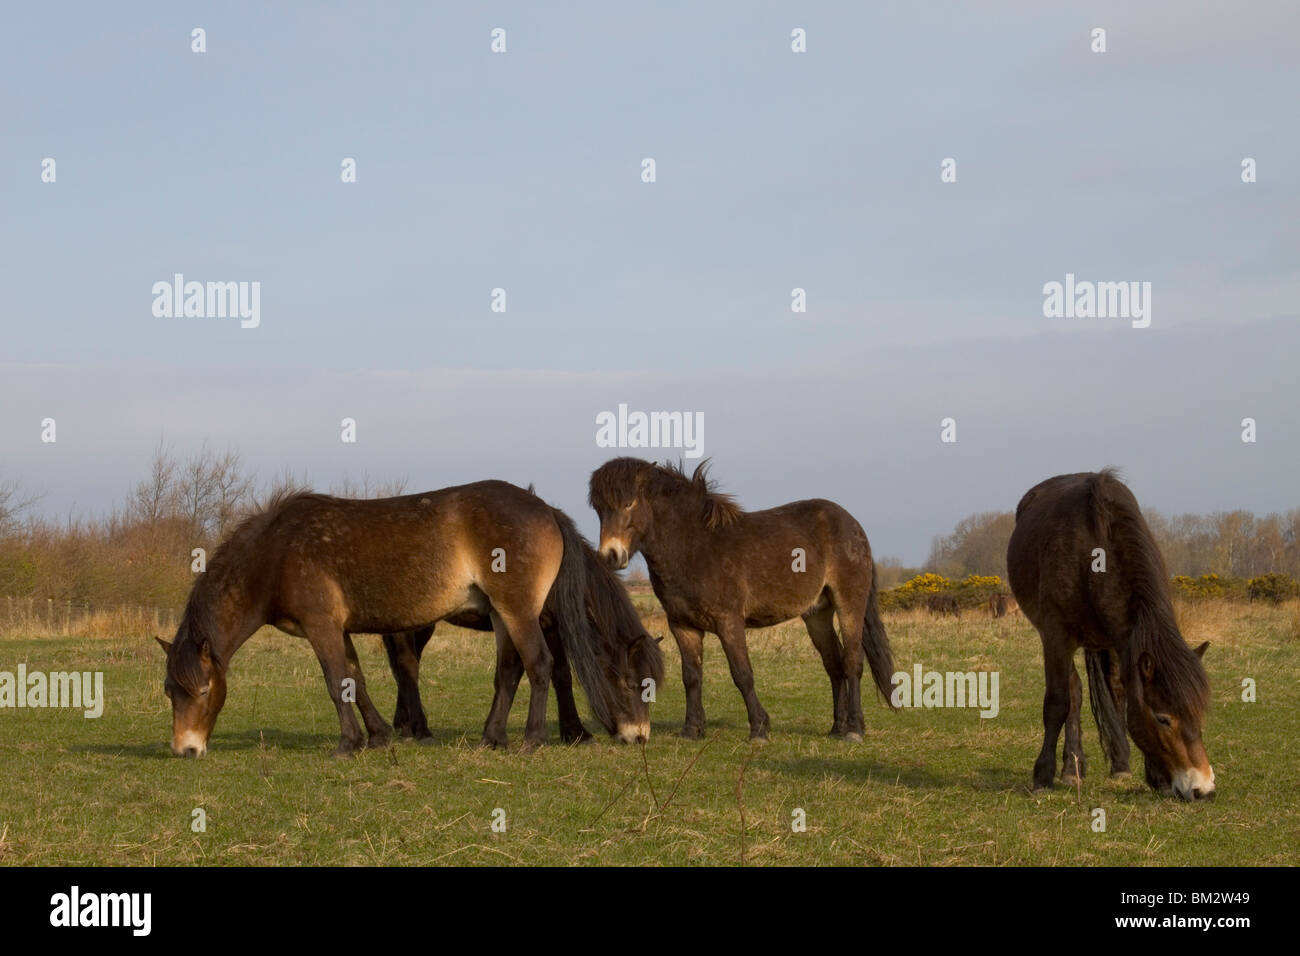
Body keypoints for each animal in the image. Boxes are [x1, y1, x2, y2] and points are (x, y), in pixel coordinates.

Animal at [162, 481, 665, 759]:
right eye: (171, 692)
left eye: (203, 691)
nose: (186, 749)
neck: (276, 553)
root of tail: (546, 511)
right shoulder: (339, 628)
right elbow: (356, 679)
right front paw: (378, 737)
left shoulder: (321, 627)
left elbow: (336, 682)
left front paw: (347, 744)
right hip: (503, 616)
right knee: (508, 672)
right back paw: (491, 737)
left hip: (518, 612)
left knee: (538, 666)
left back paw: (531, 739)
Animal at [590, 460, 894, 743]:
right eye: (599, 509)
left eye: (628, 503)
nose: (610, 555)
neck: (695, 546)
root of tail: (852, 524)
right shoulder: (683, 626)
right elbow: (691, 677)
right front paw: (691, 730)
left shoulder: (729, 622)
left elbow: (742, 674)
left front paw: (759, 729)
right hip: (817, 613)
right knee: (834, 665)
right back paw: (836, 728)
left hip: (849, 603)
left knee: (852, 661)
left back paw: (853, 729)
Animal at [1008, 470, 1211, 801]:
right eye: (1163, 718)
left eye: (1199, 712)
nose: (1203, 788)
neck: (1091, 554)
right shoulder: (1055, 637)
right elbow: (1057, 703)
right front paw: (1043, 776)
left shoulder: (1124, 640)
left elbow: (1125, 696)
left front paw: (1142, 772)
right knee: (1073, 693)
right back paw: (1070, 768)